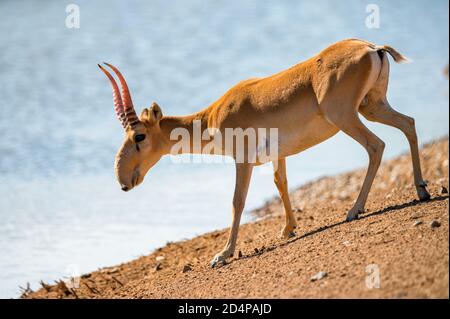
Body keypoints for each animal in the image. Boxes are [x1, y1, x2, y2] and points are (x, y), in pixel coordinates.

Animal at [100, 40, 430, 270]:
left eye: (139, 136)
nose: (123, 181)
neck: (213, 116)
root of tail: (371, 47)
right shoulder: (278, 156)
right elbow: (280, 182)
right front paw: (288, 229)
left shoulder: (242, 160)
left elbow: (238, 201)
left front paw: (222, 255)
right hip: (371, 106)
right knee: (409, 124)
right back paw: (422, 190)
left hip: (346, 117)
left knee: (376, 146)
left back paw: (354, 210)